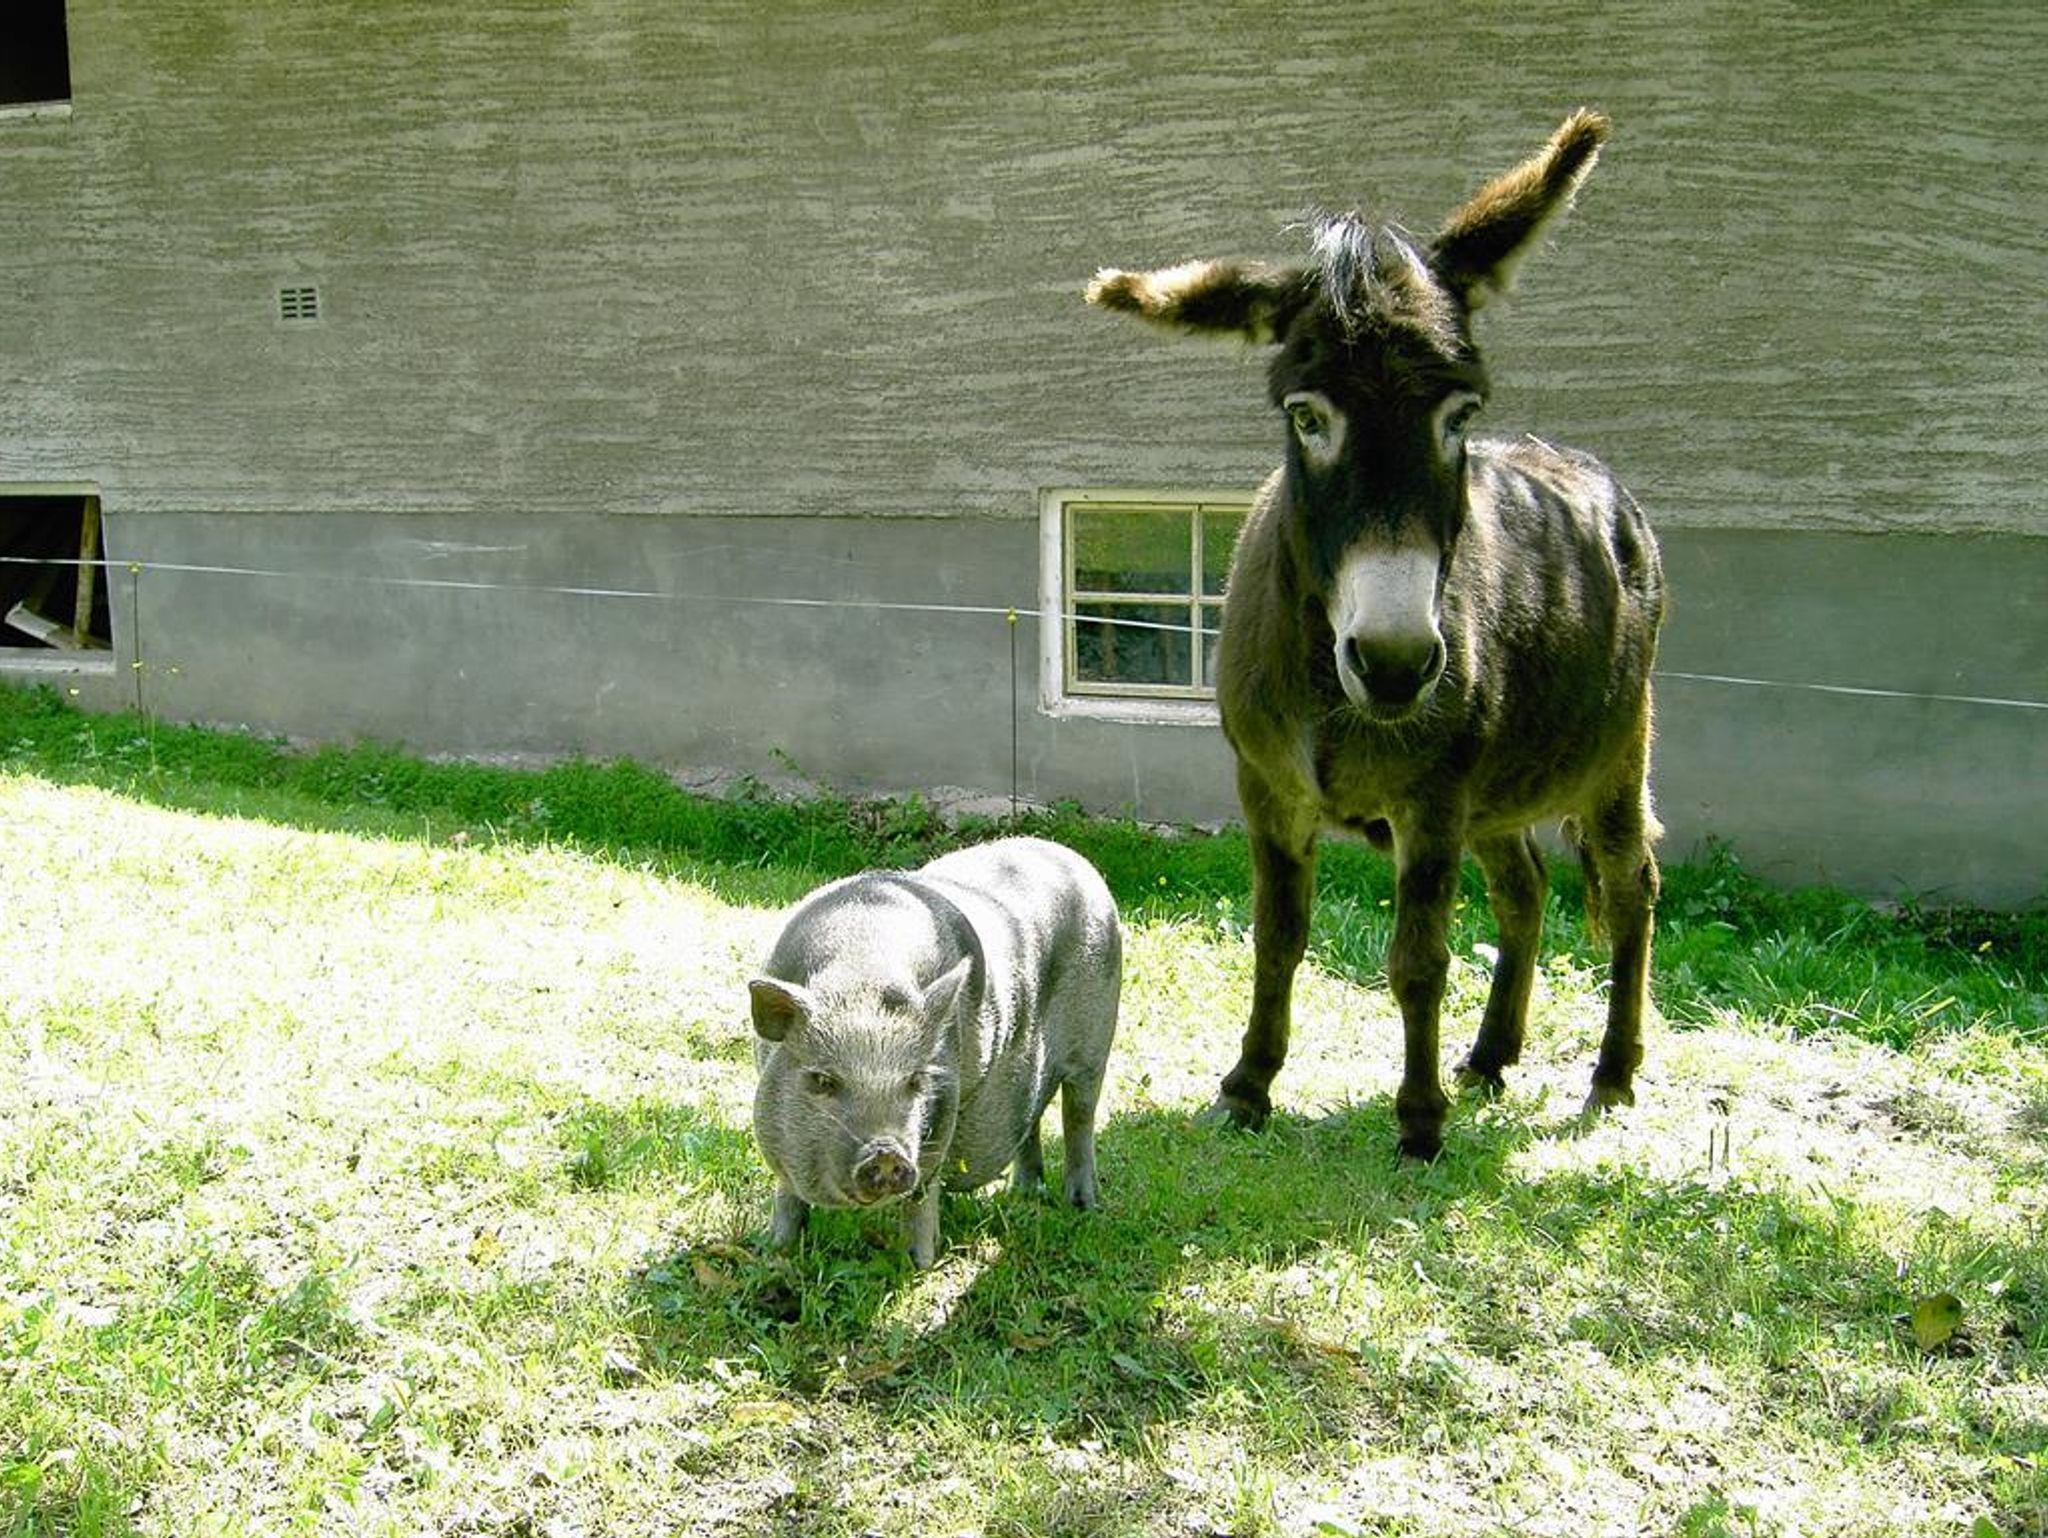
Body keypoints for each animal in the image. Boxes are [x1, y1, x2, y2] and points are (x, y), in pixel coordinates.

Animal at [1085, 110, 1664, 1159]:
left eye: (1460, 414)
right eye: (1306, 415)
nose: (1395, 665)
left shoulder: (1432, 801)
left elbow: (1418, 959)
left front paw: (1419, 1122)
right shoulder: (1269, 788)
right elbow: (1278, 936)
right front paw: (1249, 1086)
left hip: (1610, 752)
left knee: (1628, 882)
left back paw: (1608, 1077)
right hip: (1498, 793)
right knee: (1524, 888)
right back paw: (1491, 1058)